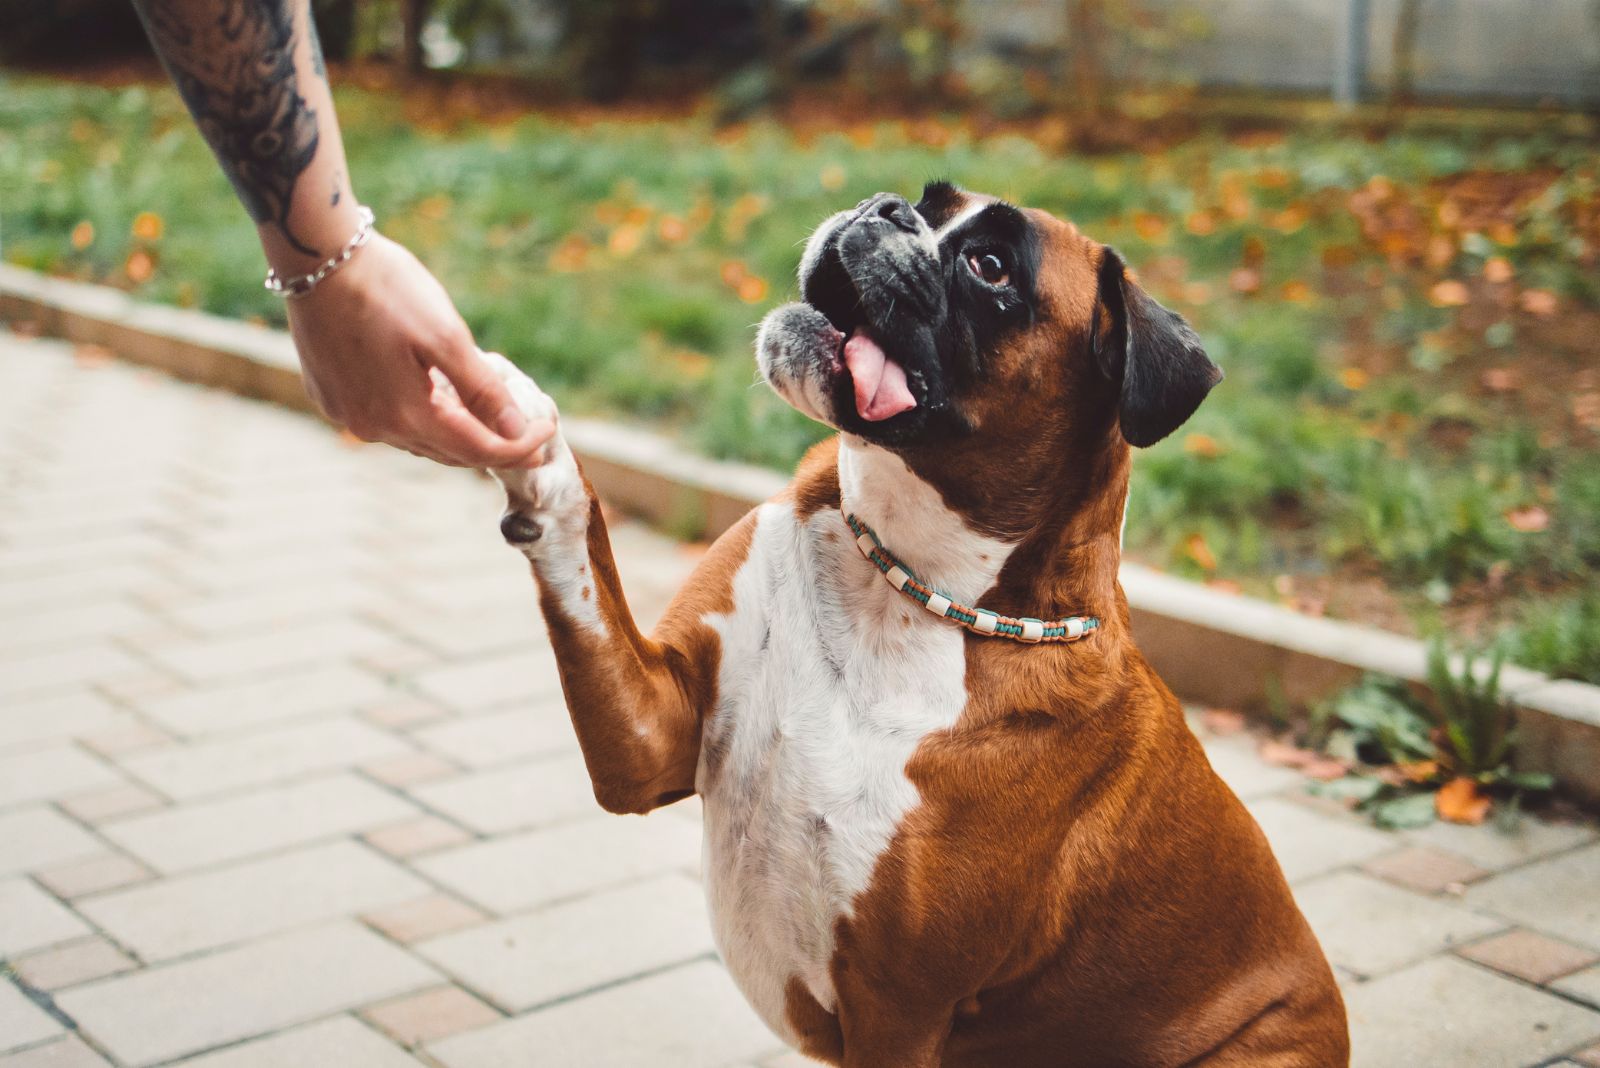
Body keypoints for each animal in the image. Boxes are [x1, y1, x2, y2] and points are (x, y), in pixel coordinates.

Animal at [486, 185, 1350, 1068]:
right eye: (931, 204)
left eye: (991, 266)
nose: (885, 206)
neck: (906, 579)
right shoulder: (650, 735)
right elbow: (583, 569)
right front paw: (523, 440)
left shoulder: (898, 1014)